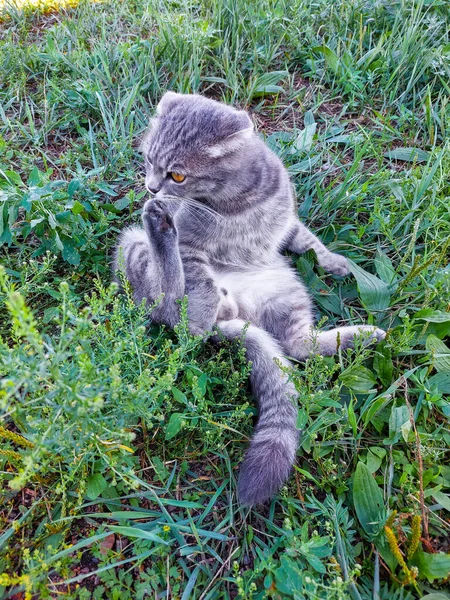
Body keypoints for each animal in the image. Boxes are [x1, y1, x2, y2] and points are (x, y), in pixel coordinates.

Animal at [114, 92, 384, 506]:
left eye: (177, 175)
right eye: (148, 161)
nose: (152, 188)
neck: (236, 203)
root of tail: (232, 315)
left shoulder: (286, 220)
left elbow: (309, 241)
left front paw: (334, 261)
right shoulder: (191, 249)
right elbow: (198, 282)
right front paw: (199, 308)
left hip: (286, 293)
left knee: (299, 346)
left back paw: (364, 335)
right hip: (133, 252)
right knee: (169, 299)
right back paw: (163, 237)